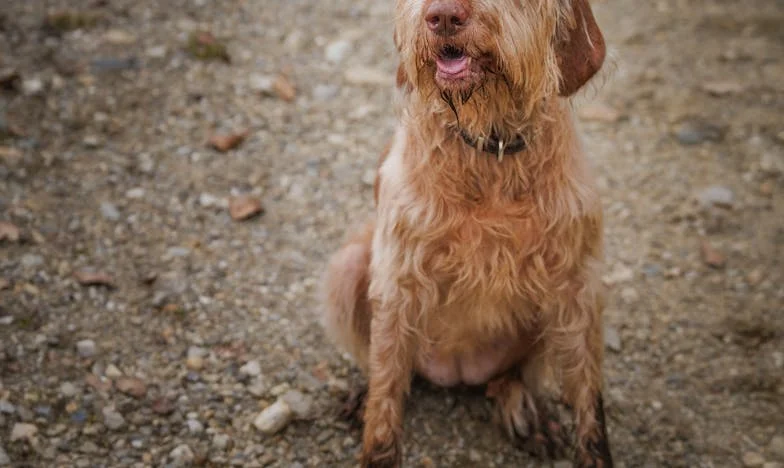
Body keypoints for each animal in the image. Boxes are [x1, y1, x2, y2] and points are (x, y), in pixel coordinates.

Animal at [324, 0, 612, 466]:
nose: (443, 17)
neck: (491, 147)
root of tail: (456, 373)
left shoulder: (577, 286)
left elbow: (590, 403)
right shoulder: (398, 278)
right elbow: (386, 394)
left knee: (511, 375)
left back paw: (522, 408)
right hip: (347, 267)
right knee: (387, 367)